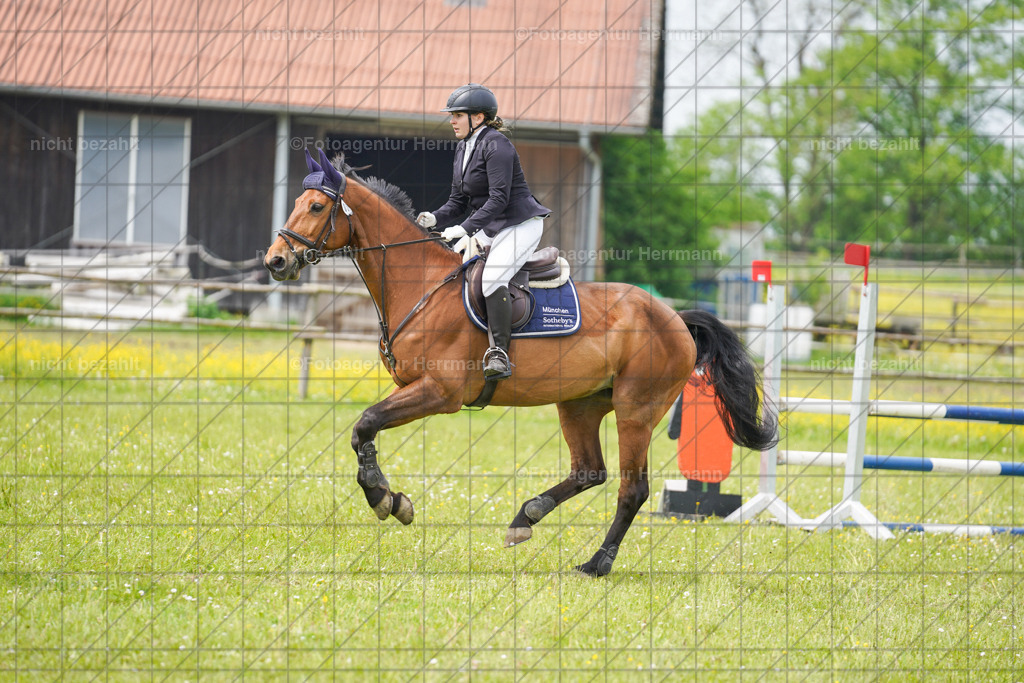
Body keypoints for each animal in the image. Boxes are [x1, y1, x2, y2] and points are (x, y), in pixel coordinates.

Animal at [263, 148, 776, 577]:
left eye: (315, 207)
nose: (276, 262)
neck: (420, 285)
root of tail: (674, 317)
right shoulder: (412, 387)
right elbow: (363, 430)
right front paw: (391, 497)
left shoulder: (440, 393)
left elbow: (365, 423)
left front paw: (383, 499)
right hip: (580, 404)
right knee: (589, 470)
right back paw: (525, 518)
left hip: (636, 411)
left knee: (632, 489)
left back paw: (596, 564)